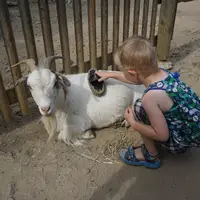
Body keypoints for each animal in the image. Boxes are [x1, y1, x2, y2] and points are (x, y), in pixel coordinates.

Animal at [12, 55, 145, 146]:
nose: (45, 109)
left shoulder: (81, 122)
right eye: (29, 86)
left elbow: (62, 135)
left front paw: (88, 134)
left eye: (55, 83)